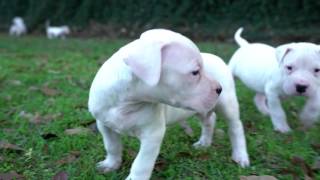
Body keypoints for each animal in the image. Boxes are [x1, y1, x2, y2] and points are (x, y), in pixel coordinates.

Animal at [87, 28, 222, 179]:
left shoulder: (152, 135)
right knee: (209, 120)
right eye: (195, 72)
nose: (219, 89)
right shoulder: (104, 125)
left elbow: (141, 163)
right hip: (199, 110)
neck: (126, 103)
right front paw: (110, 164)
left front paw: (135, 178)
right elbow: (112, 146)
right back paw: (204, 143)